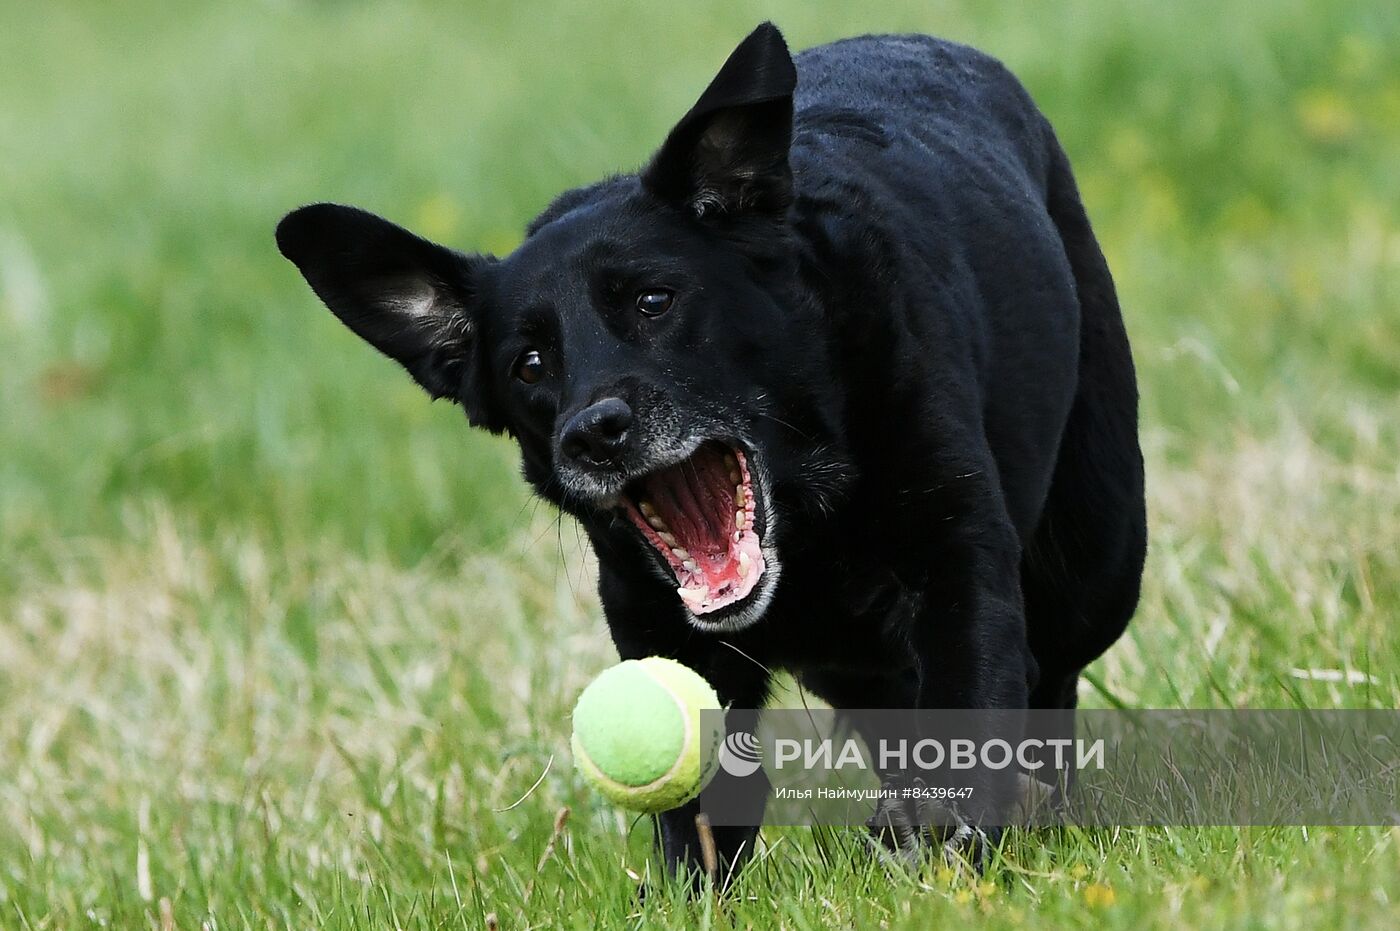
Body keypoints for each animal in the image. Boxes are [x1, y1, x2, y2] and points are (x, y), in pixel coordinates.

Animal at [275, 19, 1148, 879]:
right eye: (529, 364)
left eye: (655, 300)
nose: (593, 431)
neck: (808, 527)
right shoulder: (653, 619)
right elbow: (703, 808)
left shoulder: (955, 551)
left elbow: (968, 705)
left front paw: (942, 846)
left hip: (1096, 556)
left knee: (1049, 674)